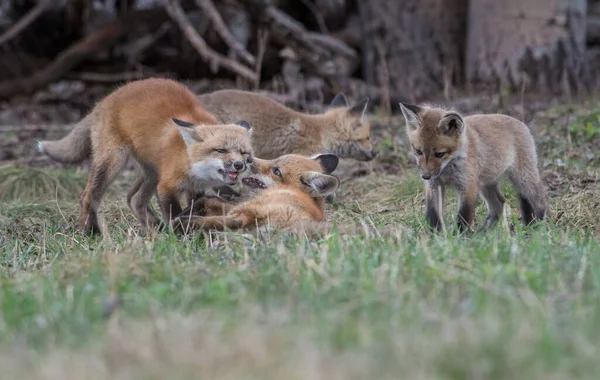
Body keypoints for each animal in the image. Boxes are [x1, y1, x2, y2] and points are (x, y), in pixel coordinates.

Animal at [37, 78, 253, 235]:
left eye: (245, 153)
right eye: (221, 150)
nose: (239, 165)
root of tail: (104, 101)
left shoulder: (196, 189)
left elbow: (195, 206)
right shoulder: (166, 186)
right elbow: (174, 212)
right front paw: (179, 234)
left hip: (152, 171)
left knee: (133, 198)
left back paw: (153, 228)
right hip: (114, 162)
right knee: (88, 195)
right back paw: (89, 232)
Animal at [176, 152, 340, 232]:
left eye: (276, 171)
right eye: (275, 159)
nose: (248, 158)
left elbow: (208, 201)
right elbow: (208, 199)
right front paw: (187, 210)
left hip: (245, 210)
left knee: (234, 221)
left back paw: (179, 224)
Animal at [400, 102, 548, 232]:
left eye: (439, 154)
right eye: (418, 151)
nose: (425, 176)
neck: (447, 170)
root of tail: (520, 122)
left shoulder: (468, 186)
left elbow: (463, 217)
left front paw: (459, 239)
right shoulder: (434, 186)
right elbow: (433, 215)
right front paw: (434, 237)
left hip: (523, 179)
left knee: (540, 200)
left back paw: (540, 227)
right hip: (486, 185)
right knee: (499, 205)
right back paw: (484, 233)